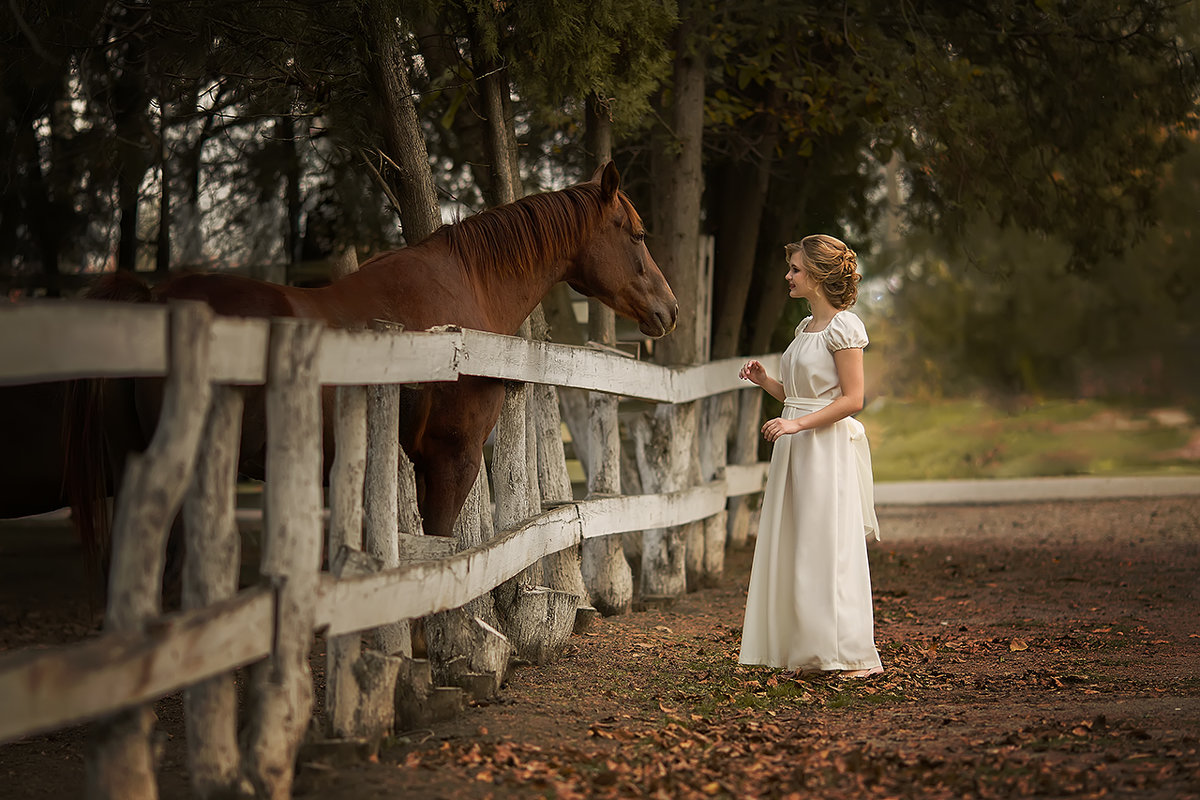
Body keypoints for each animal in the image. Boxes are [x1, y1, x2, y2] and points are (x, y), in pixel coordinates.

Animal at [51, 160, 676, 561]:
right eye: (638, 234)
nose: (669, 310)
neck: (465, 298)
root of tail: (154, 300)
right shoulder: (452, 458)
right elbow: (438, 549)